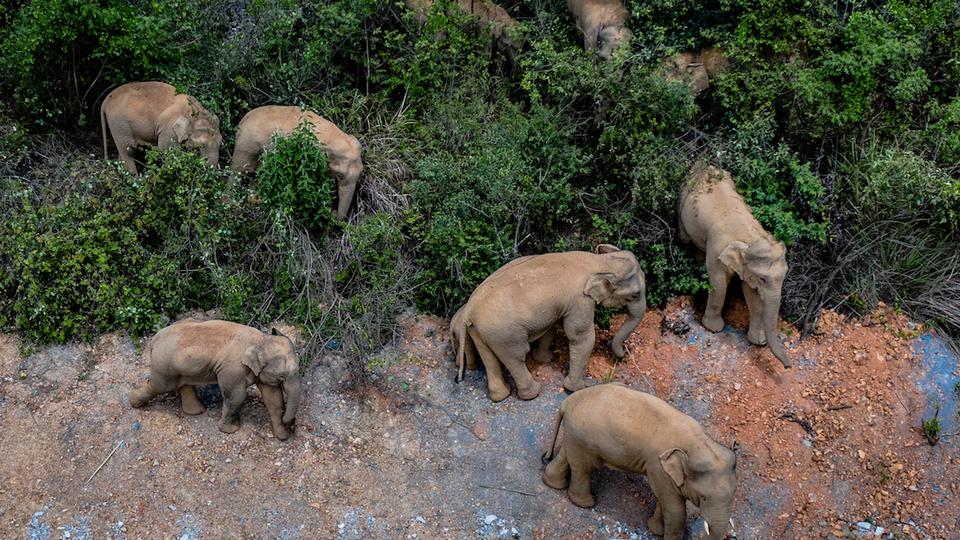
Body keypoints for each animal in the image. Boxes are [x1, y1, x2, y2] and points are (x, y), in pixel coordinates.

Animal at [126, 320, 300, 438]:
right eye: (282, 376)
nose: (293, 425)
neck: (260, 339)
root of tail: (154, 339)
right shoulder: (232, 369)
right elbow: (237, 396)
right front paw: (231, 430)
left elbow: (273, 397)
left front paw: (282, 436)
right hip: (164, 366)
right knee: (158, 386)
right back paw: (133, 402)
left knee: (183, 384)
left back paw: (197, 411)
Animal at [232, 105, 364, 219]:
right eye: (340, 175)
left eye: (361, 173)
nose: (333, 211)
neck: (335, 136)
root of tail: (244, 119)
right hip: (246, 144)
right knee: (239, 171)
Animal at [450, 245, 644, 400]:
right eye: (634, 295)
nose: (623, 355)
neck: (599, 261)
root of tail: (469, 310)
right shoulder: (580, 301)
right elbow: (581, 337)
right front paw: (579, 388)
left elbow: (551, 327)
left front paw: (546, 359)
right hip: (504, 334)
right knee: (516, 357)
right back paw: (533, 393)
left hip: (480, 331)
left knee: (489, 358)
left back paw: (500, 396)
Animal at [544, 384, 740, 540]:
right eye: (703, 497)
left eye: (733, 494)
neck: (699, 443)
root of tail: (567, 402)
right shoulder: (658, 466)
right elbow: (675, 509)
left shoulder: (662, 471)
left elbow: (663, 499)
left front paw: (655, 530)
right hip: (584, 438)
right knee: (583, 468)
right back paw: (585, 504)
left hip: (574, 434)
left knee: (567, 456)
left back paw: (552, 483)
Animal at [680, 162, 792, 370]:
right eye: (763, 278)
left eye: (784, 276)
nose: (788, 367)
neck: (750, 237)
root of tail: (703, 164)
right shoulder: (717, 249)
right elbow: (719, 283)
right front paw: (713, 328)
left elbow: (751, 294)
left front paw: (758, 341)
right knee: (684, 239)